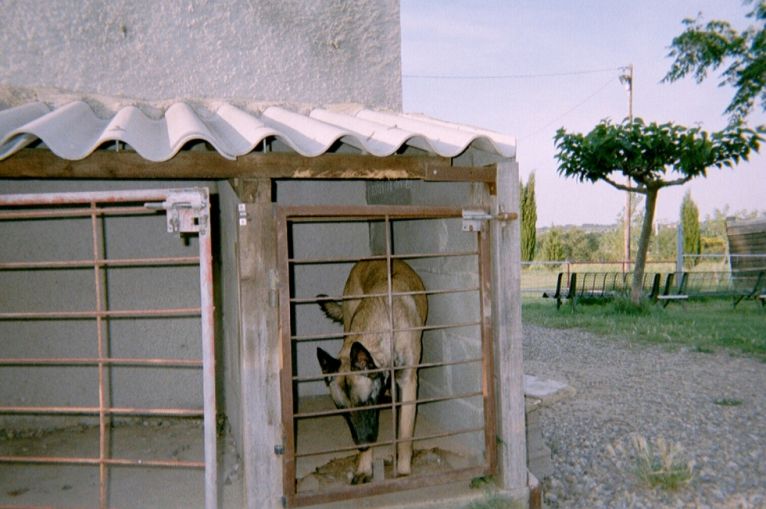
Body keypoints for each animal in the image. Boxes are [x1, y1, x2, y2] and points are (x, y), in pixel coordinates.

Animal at [316, 258, 428, 484]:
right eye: (342, 410)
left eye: (366, 404)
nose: (362, 445)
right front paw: (364, 465)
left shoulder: (409, 382)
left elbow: (405, 434)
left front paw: (403, 470)